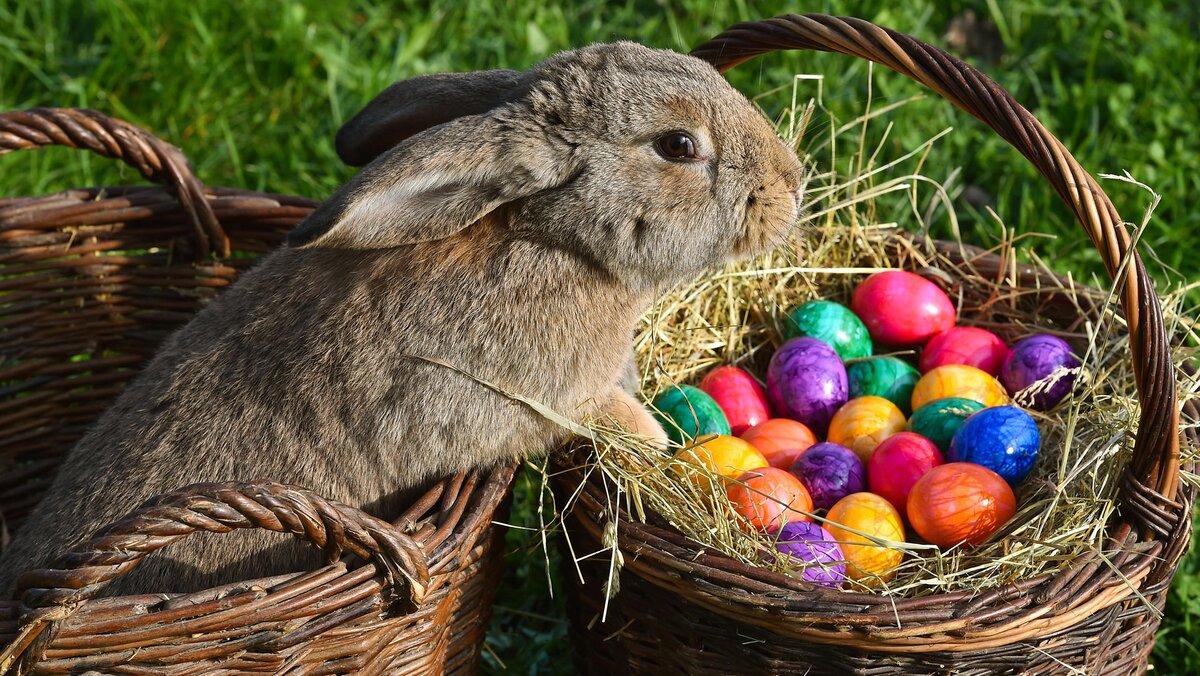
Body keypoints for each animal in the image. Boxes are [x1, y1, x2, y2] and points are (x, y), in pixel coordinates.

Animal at [4, 41, 806, 597]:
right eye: (678, 145)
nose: (791, 182)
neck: (554, 237)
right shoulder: (520, 399)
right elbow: (593, 415)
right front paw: (655, 439)